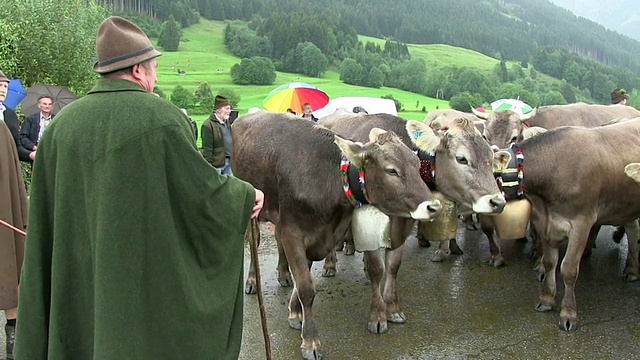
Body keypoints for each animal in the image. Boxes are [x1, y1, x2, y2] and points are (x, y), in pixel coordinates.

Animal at [232, 111, 442, 358]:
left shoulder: (321, 234)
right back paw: (252, 281)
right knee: (252, 241)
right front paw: (310, 342)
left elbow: (303, 280)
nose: (434, 207)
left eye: (418, 164)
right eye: (391, 170)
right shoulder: (292, 232)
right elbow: (306, 288)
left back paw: (283, 275)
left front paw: (295, 313)